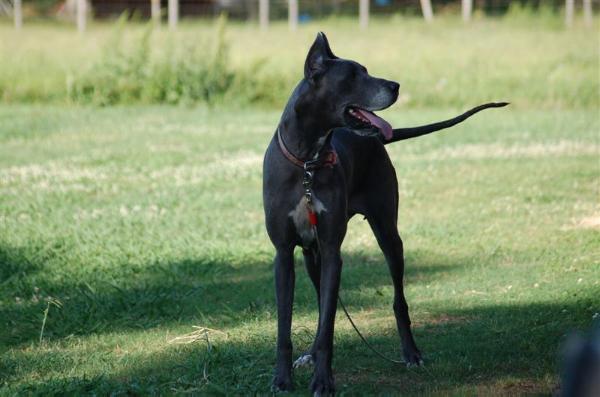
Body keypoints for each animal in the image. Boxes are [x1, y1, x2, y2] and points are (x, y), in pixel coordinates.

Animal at [262, 31, 506, 392]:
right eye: (352, 76)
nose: (395, 85)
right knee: (321, 300)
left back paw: (411, 353)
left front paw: (323, 380)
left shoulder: (332, 250)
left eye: (366, 70)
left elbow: (327, 324)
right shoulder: (284, 253)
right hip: (311, 255)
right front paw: (282, 378)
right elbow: (287, 323)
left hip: (388, 232)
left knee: (397, 299)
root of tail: (377, 139)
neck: (306, 162)